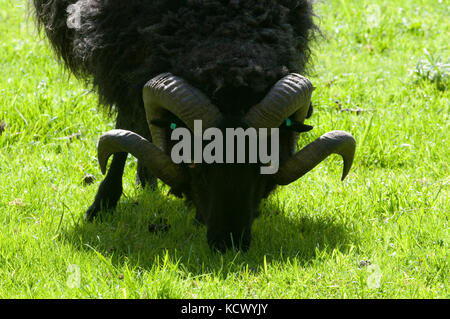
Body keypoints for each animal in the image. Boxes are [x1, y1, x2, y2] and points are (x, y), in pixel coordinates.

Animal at [31, 0, 356, 252]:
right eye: (198, 167)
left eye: (264, 165)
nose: (228, 244)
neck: (224, 29)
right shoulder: (122, 58)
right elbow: (126, 125)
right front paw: (102, 204)